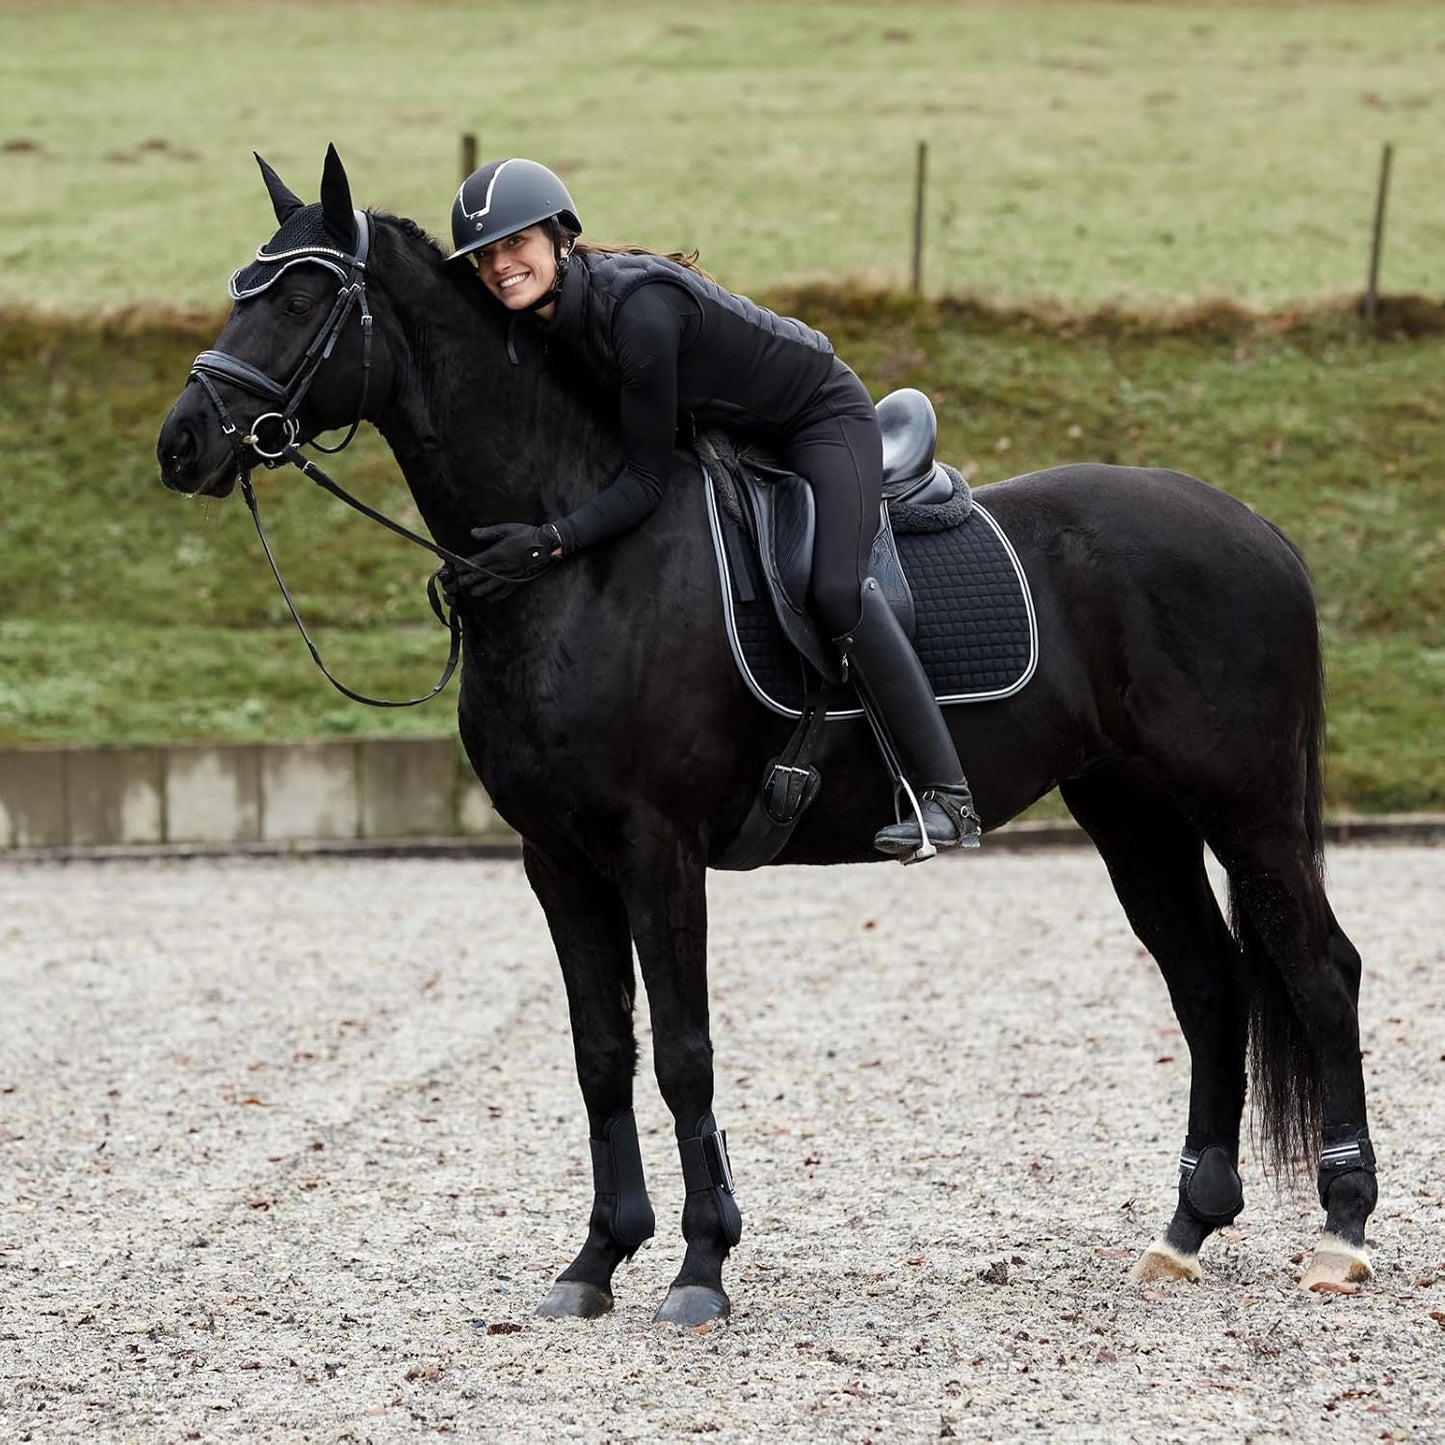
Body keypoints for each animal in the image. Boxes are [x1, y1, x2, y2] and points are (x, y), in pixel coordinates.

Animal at [156, 148, 1377, 1326]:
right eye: (241, 285)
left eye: (303, 293)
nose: (182, 442)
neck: (578, 561)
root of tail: (1253, 527)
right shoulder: (557, 859)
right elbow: (602, 1054)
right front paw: (597, 1258)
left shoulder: (658, 847)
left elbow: (683, 1053)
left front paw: (701, 1262)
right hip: (1132, 811)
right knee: (1208, 983)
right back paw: (1185, 1229)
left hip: (1244, 805)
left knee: (1318, 970)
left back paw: (1341, 1230)